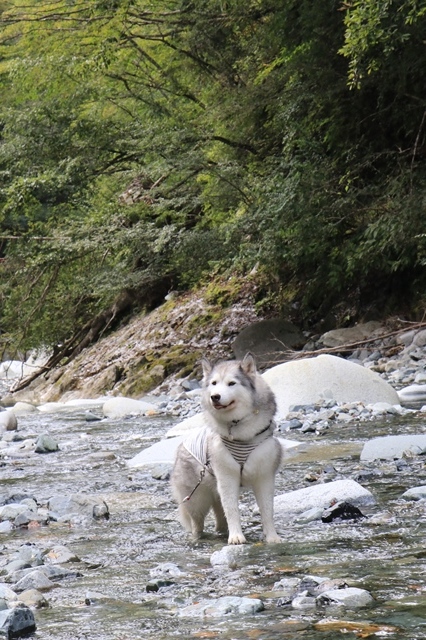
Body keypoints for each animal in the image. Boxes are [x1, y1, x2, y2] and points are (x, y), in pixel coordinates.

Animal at [171, 352, 282, 544]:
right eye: (214, 383)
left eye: (231, 383)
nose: (215, 396)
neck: (238, 428)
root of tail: (182, 445)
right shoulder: (226, 477)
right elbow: (232, 509)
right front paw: (236, 537)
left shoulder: (264, 476)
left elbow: (267, 510)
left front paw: (272, 537)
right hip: (198, 498)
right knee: (197, 522)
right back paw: (197, 538)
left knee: (220, 517)